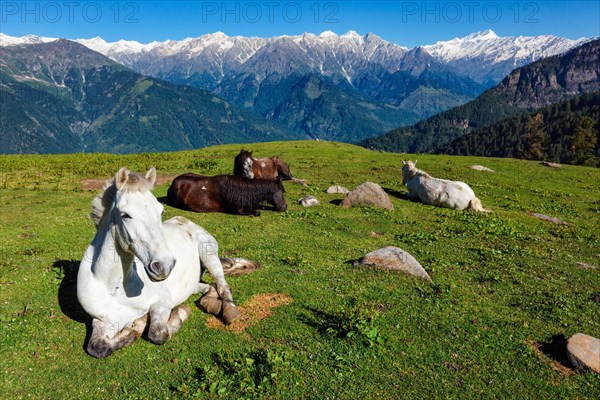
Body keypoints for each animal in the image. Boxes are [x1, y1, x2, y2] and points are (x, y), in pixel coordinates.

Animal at [78, 167, 260, 358]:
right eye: (125, 215)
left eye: (160, 212)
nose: (164, 265)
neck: (114, 288)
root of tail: (185, 220)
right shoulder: (100, 320)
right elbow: (97, 348)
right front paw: (133, 328)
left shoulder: (163, 302)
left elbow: (157, 333)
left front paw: (174, 314)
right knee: (209, 287)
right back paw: (212, 304)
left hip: (209, 256)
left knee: (223, 286)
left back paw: (230, 312)